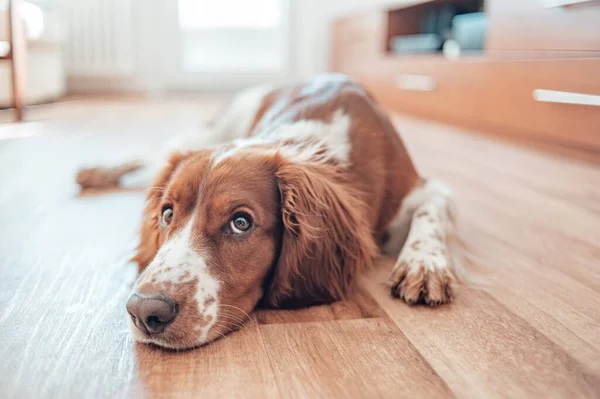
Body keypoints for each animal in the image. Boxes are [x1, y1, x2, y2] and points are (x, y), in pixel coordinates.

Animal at [75, 72, 460, 350]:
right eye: (167, 214)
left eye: (241, 222)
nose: (144, 310)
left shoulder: (423, 189)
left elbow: (430, 212)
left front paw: (424, 264)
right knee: (152, 153)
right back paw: (95, 172)